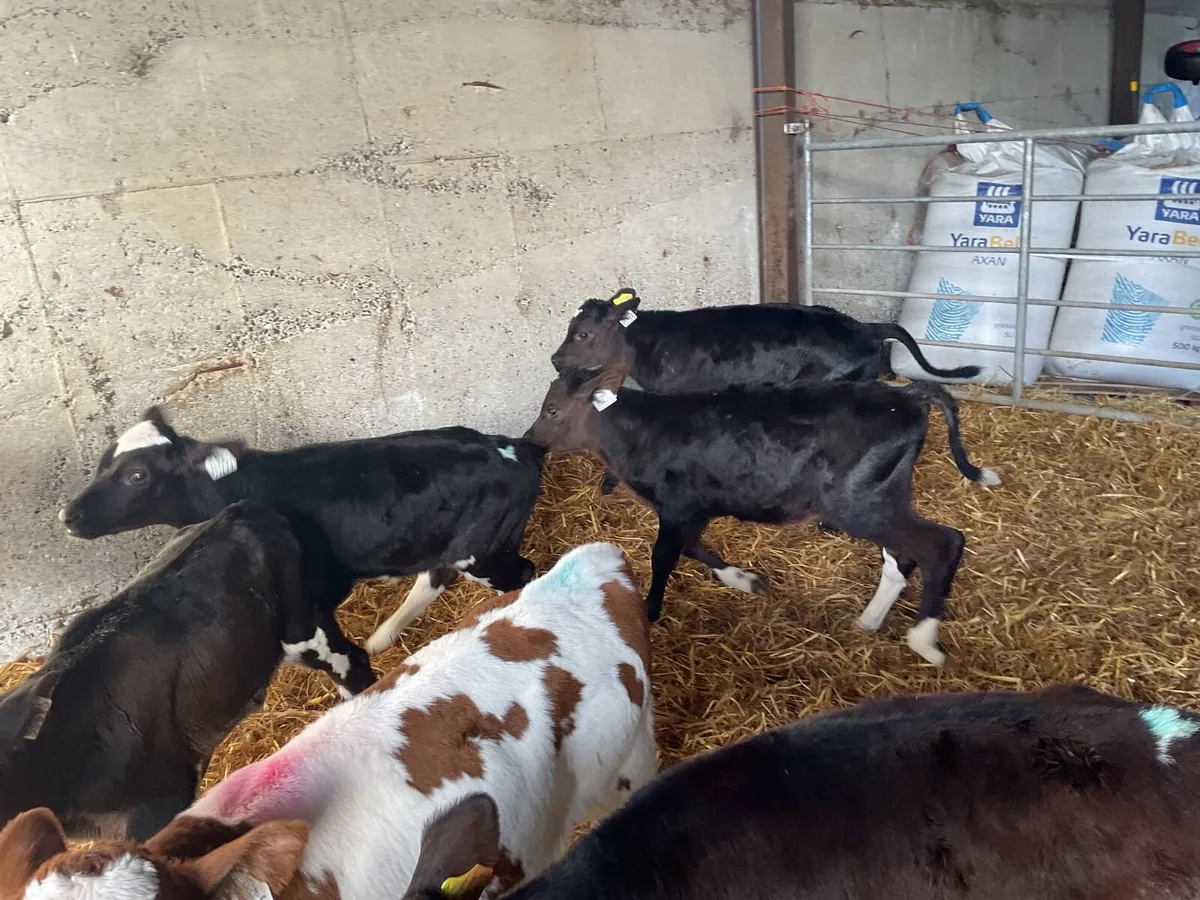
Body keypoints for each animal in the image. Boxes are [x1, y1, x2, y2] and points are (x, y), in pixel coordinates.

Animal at [59, 407, 546, 654]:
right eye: (103, 461)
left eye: (137, 475)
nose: (69, 515)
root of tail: (515, 448)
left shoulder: (316, 590)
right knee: (434, 577)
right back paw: (381, 637)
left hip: (484, 549)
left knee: (521, 574)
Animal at [525, 361, 1000, 665]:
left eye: (552, 409)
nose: (530, 441)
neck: (638, 434)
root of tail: (907, 394)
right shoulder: (694, 509)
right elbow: (693, 548)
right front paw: (743, 579)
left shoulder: (677, 505)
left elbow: (663, 558)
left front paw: (651, 611)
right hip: (883, 496)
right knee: (903, 556)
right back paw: (870, 619)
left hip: (860, 503)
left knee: (942, 543)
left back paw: (924, 640)